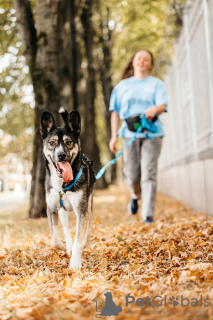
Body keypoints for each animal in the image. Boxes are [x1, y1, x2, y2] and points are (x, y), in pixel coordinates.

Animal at [39, 110, 95, 268]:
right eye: (52, 143)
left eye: (69, 142)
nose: (61, 155)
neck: (62, 184)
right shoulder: (51, 208)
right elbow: (54, 241)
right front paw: (65, 247)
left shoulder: (82, 210)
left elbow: (79, 239)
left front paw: (75, 263)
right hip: (62, 211)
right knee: (65, 228)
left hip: (89, 205)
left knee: (85, 230)